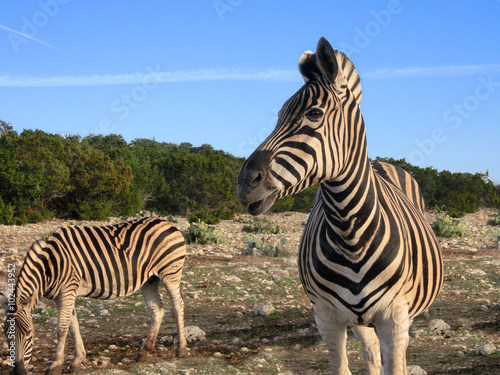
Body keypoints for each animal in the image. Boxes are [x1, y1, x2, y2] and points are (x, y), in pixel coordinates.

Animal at [0, 217, 188, 375]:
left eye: (29, 333)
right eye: (6, 333)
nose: (18, 372)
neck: (50, 264)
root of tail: (167, 222)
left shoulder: (67, 291)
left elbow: (61, 329)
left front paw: (55, 365)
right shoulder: (64, 296)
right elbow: (73, 326)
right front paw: (77, 361)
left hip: (170, 272)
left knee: (178, 305)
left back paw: (181, 349)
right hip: (149, 280)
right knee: (157, 310)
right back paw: (145, 351)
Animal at [236, 36, 444, 375]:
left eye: (314, 113)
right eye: (279, 115)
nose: (244, 182)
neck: (350, 232)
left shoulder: (395, 318)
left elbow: (395, 363)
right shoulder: (326, 317)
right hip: (359, 319)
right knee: (372, 353)